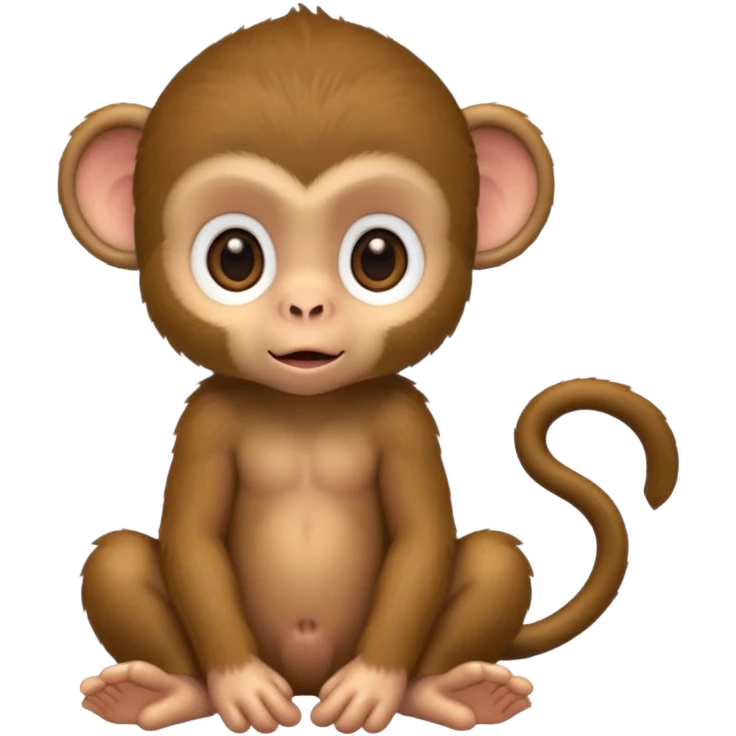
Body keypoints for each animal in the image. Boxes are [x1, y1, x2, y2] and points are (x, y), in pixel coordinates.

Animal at [59, 6, 679, 734]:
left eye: (378, 257)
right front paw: (239, 685)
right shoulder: (206, 414)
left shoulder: (406, 415)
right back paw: (167, 693)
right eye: (235, 257)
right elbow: (192, 538)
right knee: (116, 560)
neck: (306, 405)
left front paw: (374, 688)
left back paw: (442, 691)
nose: (305, 306)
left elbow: (422, 538)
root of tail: (306, 683)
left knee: (495, 560)